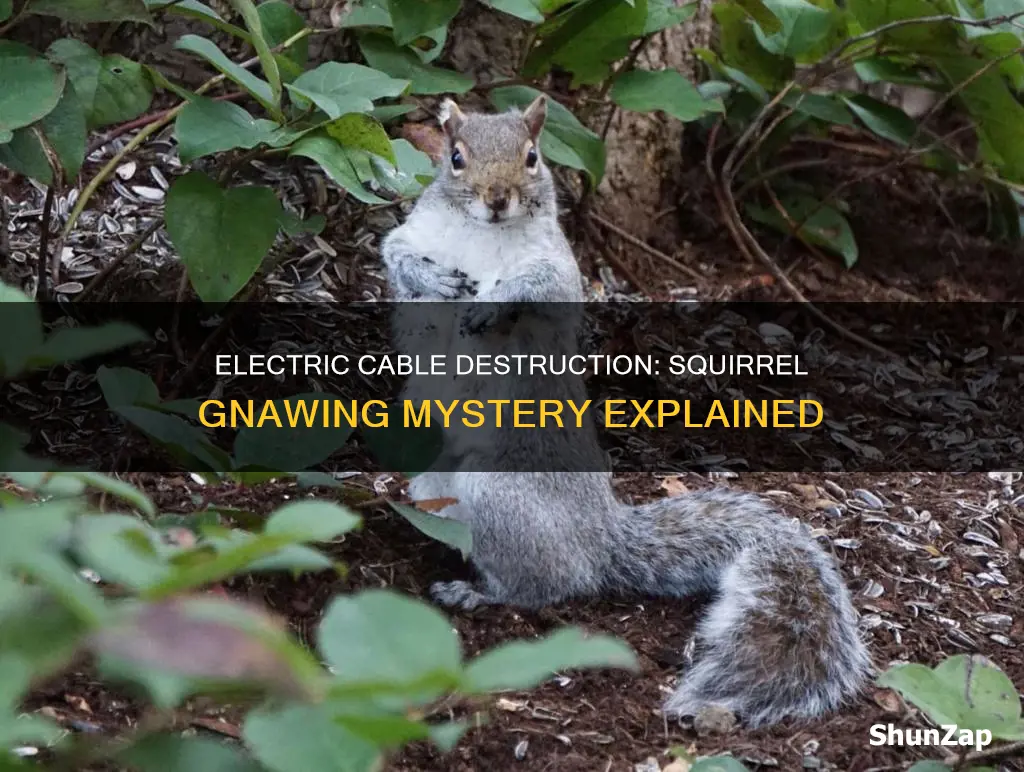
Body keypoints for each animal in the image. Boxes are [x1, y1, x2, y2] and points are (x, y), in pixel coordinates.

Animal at [379, 97, 872, 728]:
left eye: (532, 157)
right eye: (456, 158)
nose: (497, 197)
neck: (478, 232)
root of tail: (601, 536)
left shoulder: (557, 269)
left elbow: (536, 284)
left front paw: (490, 304)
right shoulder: (416, 232)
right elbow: (396, 252)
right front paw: (431, 278)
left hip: (501, 494)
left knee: (546, 585)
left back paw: (477, 591)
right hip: (436, 483)